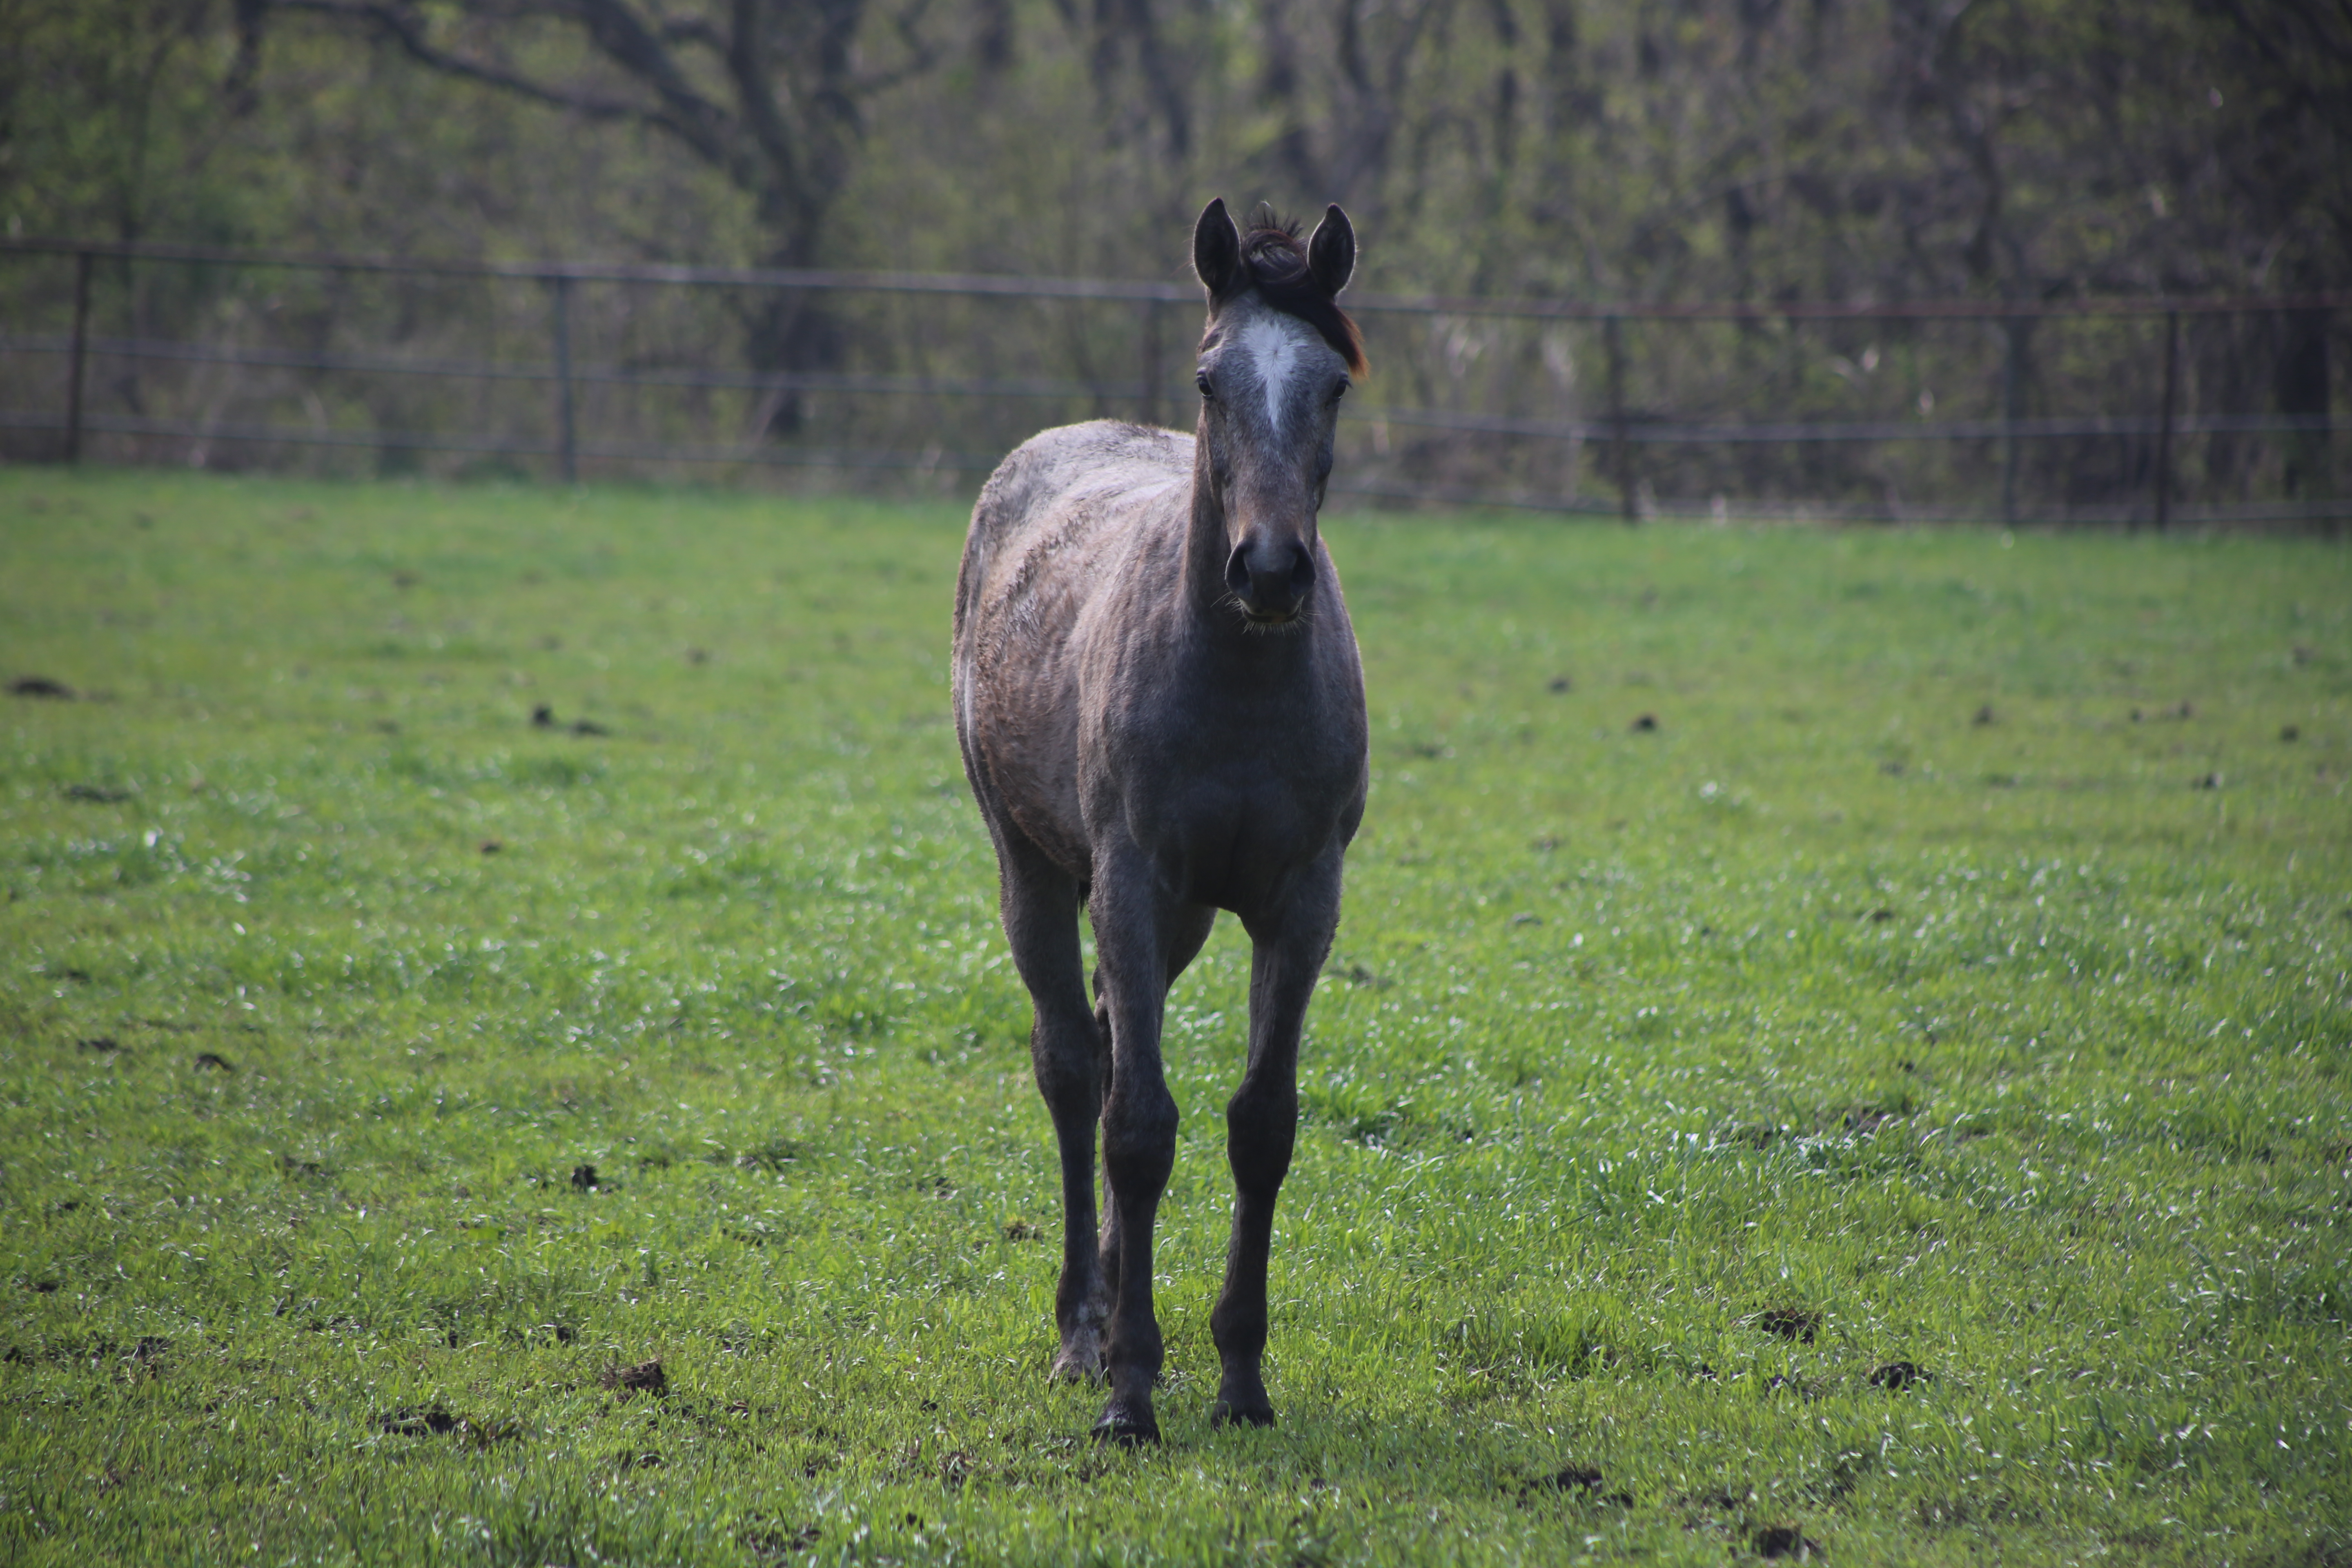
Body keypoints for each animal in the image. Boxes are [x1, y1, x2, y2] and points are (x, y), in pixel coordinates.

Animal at [945, 200, 1373, 1448]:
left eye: (1331, 383)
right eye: (1209, 379)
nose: (1270, 569)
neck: (1232, 680)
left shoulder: (1302, 902)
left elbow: (1260, 1126)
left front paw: (1240, 1378)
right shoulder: (1130, 885)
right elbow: (1138, 1127)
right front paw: (1130, 1388)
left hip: (1181, 921)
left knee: (1101, 1048)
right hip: (1037, 874)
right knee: (1073, 1068)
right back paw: (1080, 1331)